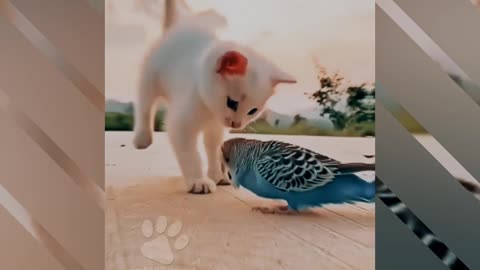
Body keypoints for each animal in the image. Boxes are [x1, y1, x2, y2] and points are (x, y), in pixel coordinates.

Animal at [133, 0, 294, 194]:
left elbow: (213, 148)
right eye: (231, 102)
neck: (210, 112)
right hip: (150, 77)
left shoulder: (216, 129)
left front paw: (217, 175)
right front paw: (198, 180)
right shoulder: (181, 125)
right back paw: (142, 137)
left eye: (253, 111)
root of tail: (175, 29)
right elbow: (190, 154)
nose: (236, 124)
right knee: (145, 105)